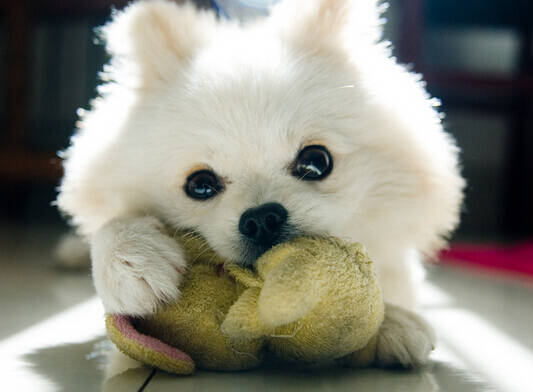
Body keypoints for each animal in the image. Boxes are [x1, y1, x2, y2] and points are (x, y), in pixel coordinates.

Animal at [57, 0, 462, 370]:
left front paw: (392, 322)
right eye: (200, 185)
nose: (262, 218)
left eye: (316, 162)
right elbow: (111, 225)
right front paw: (129, 259)